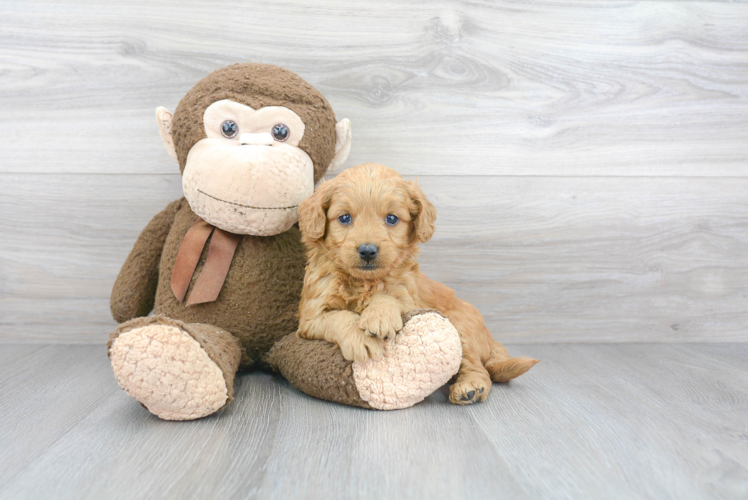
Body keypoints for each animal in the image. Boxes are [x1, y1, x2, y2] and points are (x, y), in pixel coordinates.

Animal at [294, 162, 536, 404]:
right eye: (344, 218)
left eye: (391, 219)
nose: (368, 251)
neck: (365, 282)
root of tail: (490, 337)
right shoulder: (310, 317)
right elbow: (338, 317)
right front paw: (360, 338)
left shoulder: (410, 300)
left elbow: (389, 297)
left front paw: (379, 316)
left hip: (460, 328)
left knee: (478, 367)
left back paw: (471, 387)